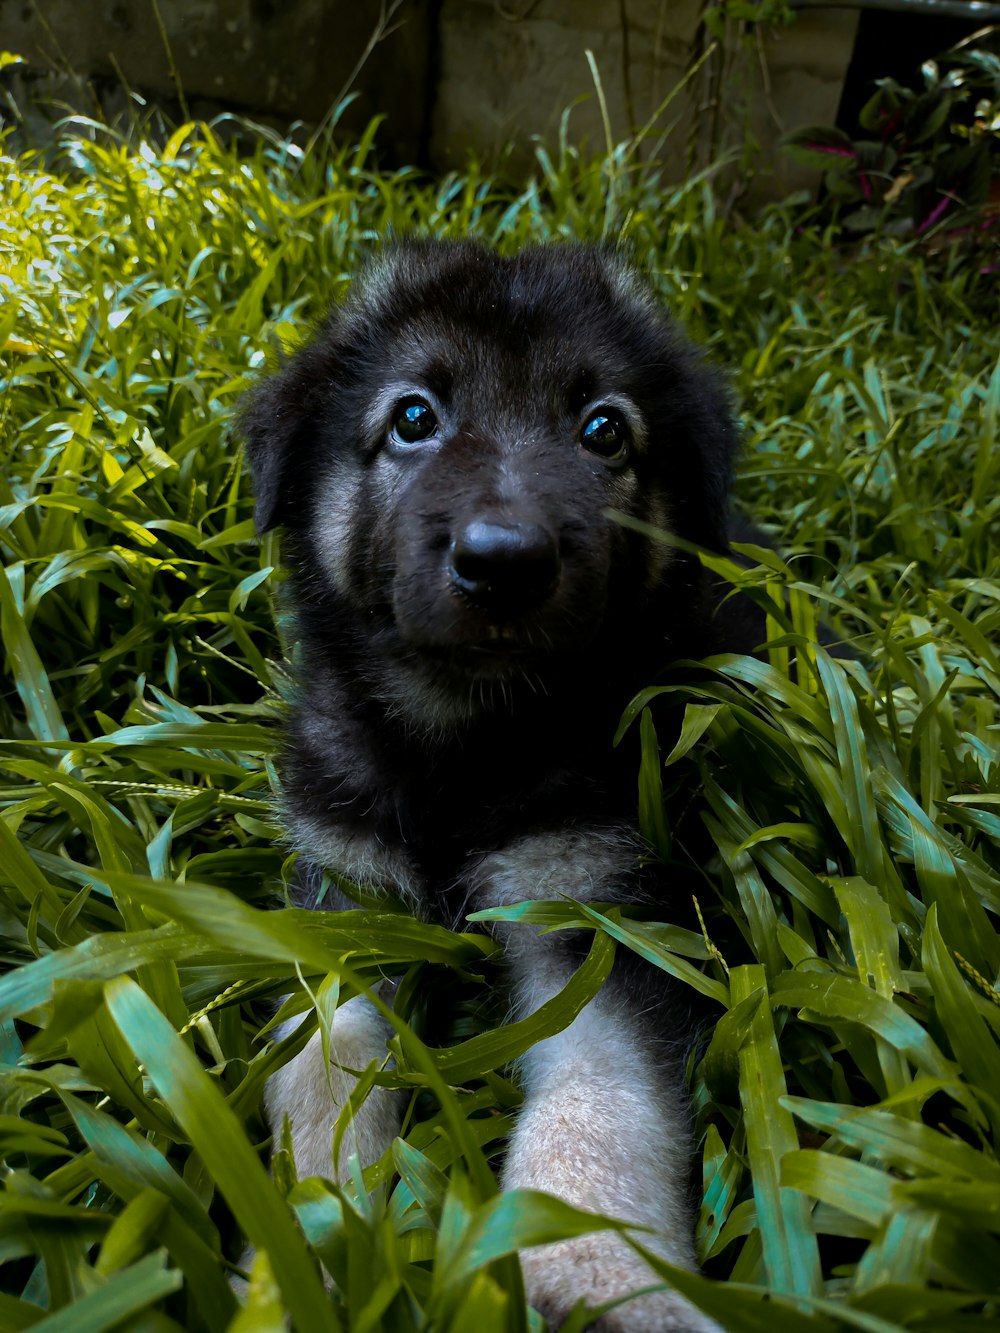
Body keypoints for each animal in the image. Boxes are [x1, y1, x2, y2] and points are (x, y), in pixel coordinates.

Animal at [241, 242, 752, 1333]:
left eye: (603, 429)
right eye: (412, 417)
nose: (506, 562)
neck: (466, 739)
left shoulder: (591, 907)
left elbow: (603, 1096)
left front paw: (601, 1276)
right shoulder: (346, 896)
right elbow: (323, 1074)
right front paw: (311, 1250)